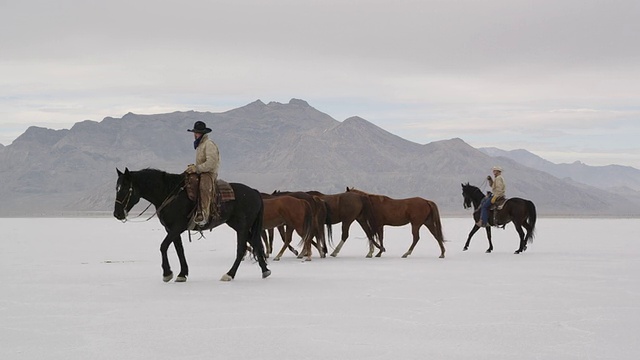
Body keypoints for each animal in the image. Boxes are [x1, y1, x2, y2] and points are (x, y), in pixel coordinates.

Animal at [112, 167, 270, 282]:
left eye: (125, 188)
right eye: (116, 188)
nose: (117, 214)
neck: (169, 193)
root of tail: (255, 192)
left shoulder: (177, 228)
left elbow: (163, 246)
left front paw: (167, 273)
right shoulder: (171, 229)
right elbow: (179, 250)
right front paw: (182, 274)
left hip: (242, 227)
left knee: (242, 249)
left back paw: (229, 274)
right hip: (239, 225)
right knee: (256, 243)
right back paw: (265, 271)